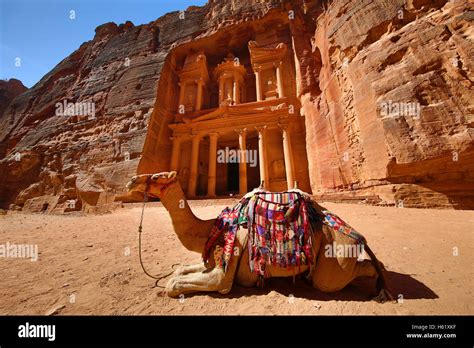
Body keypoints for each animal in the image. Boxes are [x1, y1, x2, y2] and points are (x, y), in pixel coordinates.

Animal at [125, 171, 392, 302]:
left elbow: (178, 284)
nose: (131, 180)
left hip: (334, 258)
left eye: (158, 176)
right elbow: (179, 271)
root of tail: (357, 237)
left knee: (345, 275)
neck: (210, 229)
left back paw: (380, 286)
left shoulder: (228, 262)